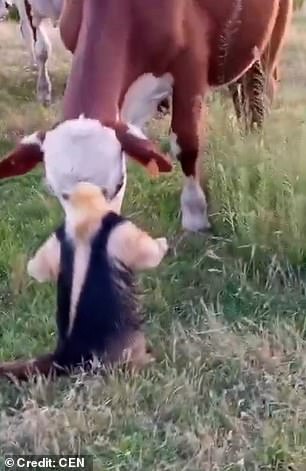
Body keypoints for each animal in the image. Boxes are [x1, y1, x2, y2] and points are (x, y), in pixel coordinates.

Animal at [0, 0, 286, 232]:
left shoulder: (191, 67)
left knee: (260, 89)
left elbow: (187, 144)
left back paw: (255, 143)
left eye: (117, 185)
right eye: (58, 193)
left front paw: (195, 215)